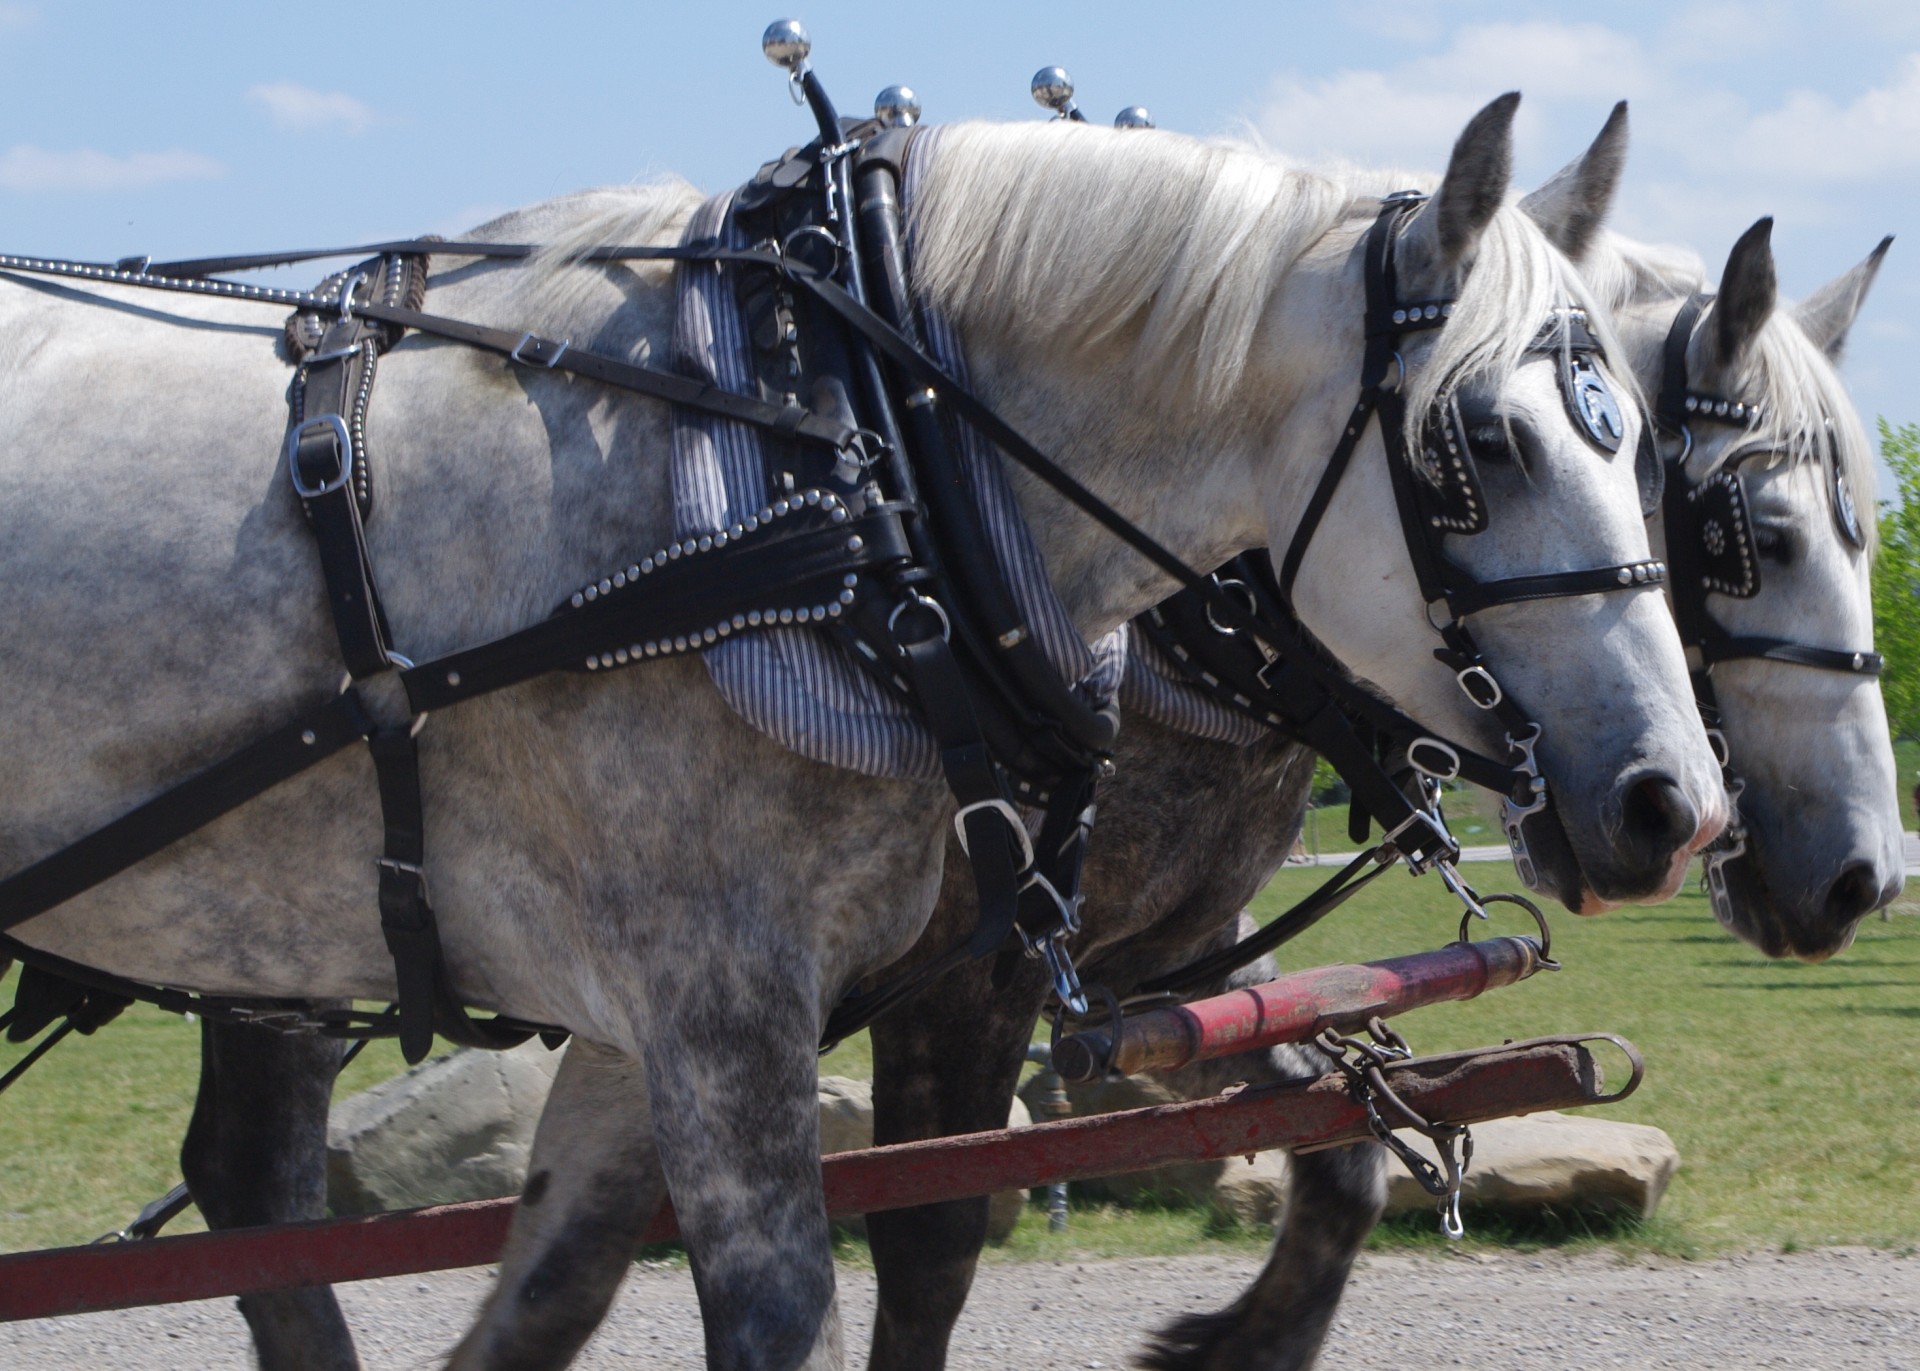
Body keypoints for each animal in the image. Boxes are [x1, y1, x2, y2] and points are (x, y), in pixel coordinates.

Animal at [0, 98, 1720, 1367]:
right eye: (1478, 444)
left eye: (1633, 441)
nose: (1676, 803)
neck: (850, 463)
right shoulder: (733, 994)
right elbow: (814, 1292)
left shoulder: (685, 1012)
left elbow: (568, 1275)